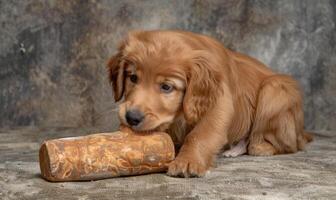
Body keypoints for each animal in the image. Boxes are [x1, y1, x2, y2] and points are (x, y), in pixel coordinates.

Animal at [107, 30, 312, 178]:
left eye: (166, 87)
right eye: (133, 78)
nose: (131, 118)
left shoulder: (219, 104)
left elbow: (200, 135)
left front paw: (187, 161)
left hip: (274, 90)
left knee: (290, 145)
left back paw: (260, 147)